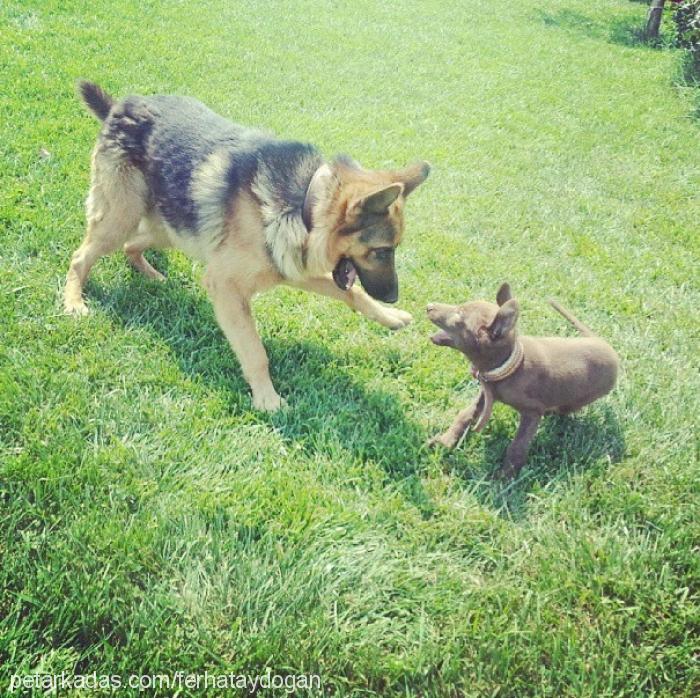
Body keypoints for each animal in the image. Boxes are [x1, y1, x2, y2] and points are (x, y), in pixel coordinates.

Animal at [426, 282, 616, 474]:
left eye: (459, 314)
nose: (429, 306)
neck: (509, 367)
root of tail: (604, 344)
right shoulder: (486, 392)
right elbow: (465, 415)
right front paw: (445, 441)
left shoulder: (532, 413)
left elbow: (518, 446)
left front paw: (506, 476)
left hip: (580, 398)